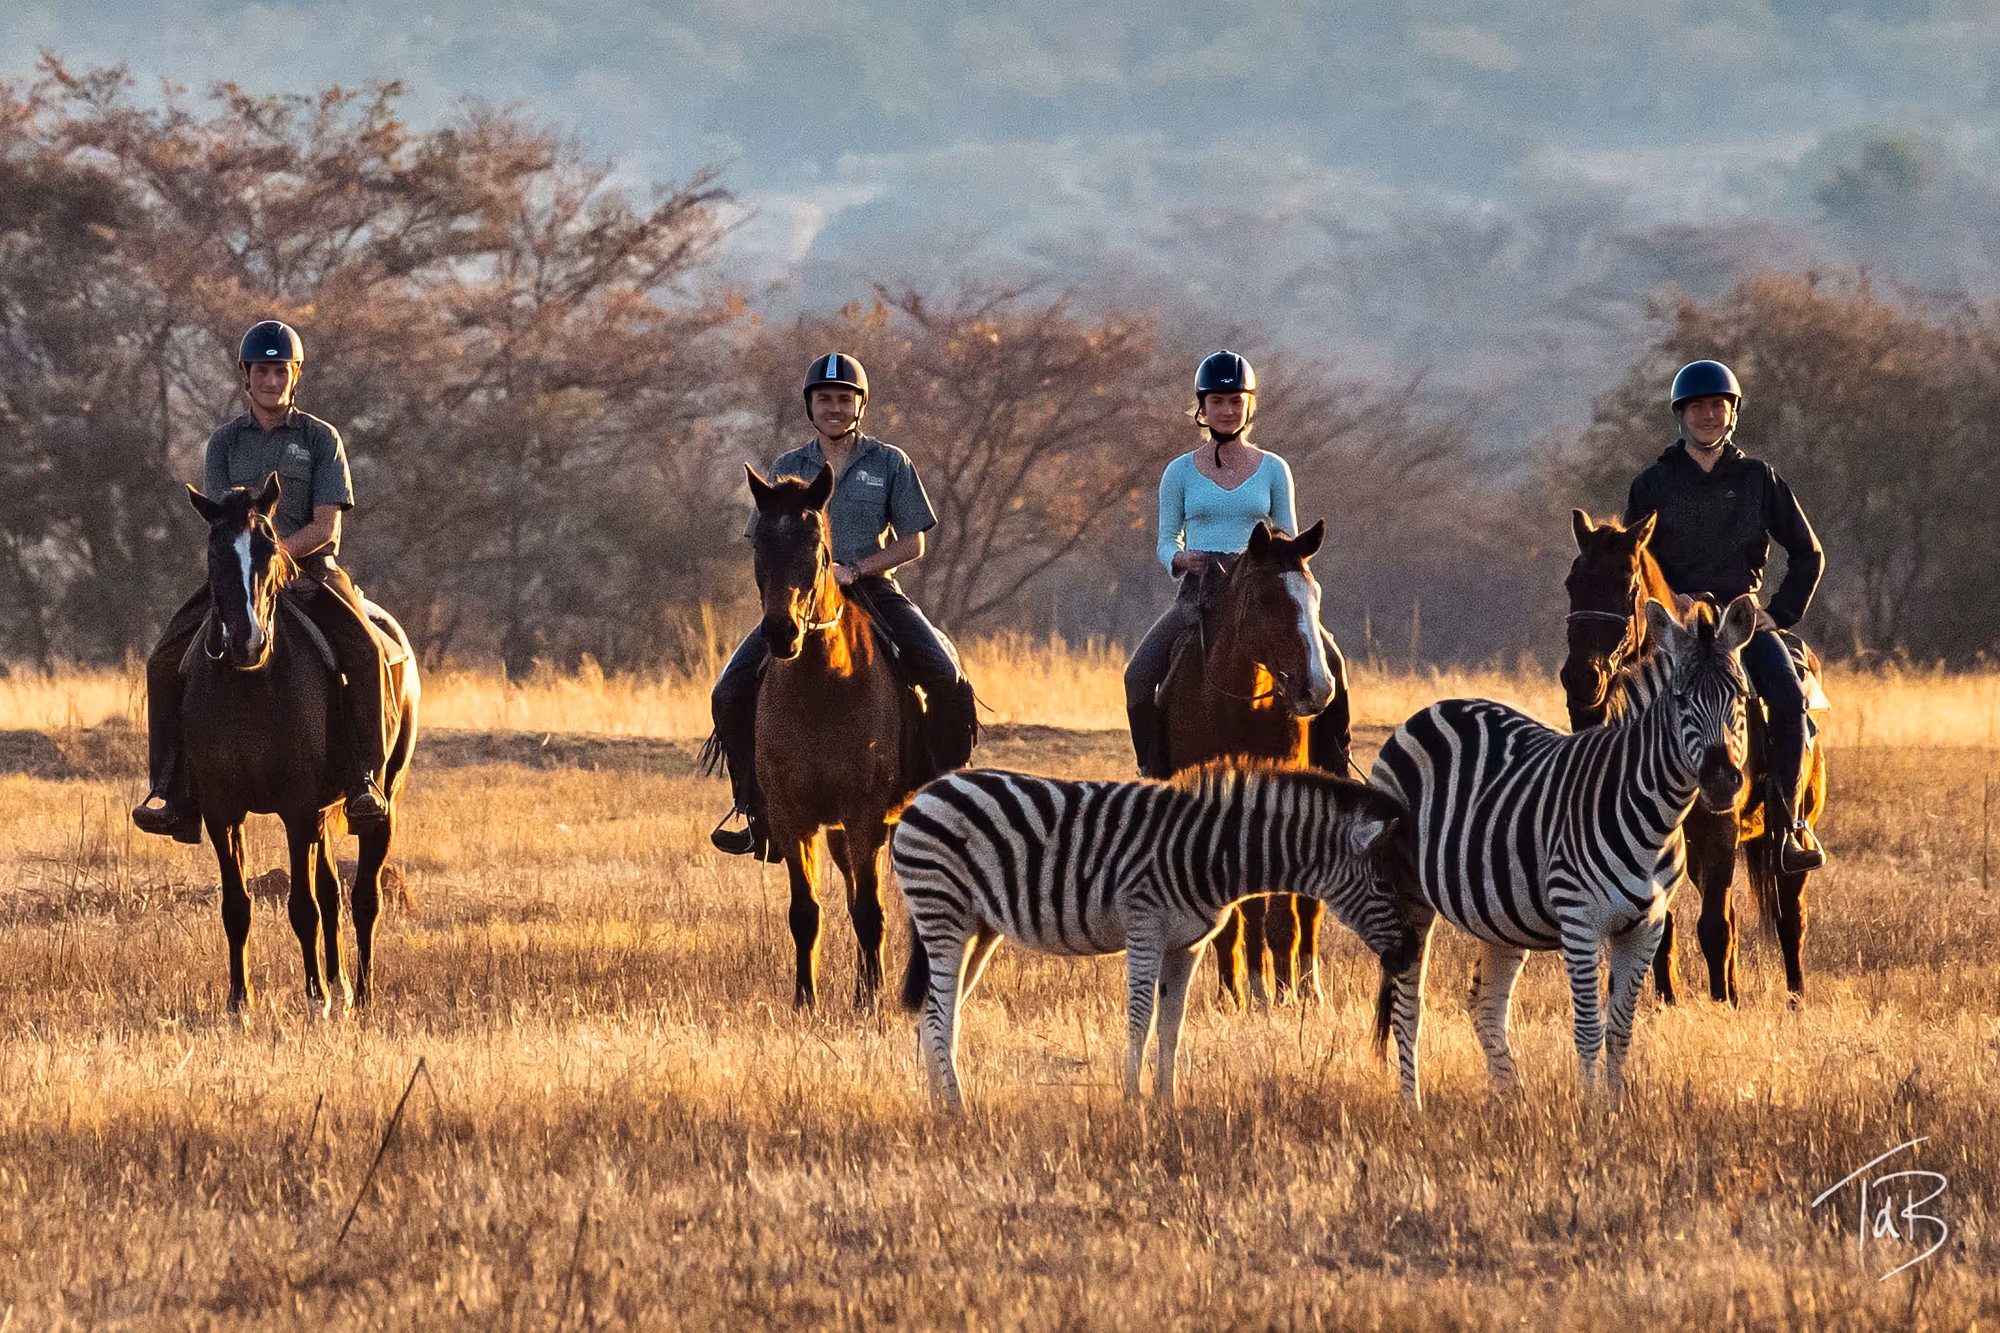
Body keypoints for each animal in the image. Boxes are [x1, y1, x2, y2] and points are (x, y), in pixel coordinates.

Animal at [181, 474, 420, 1014]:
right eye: (213, 552)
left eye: (269, 548)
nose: (247, 640)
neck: (253, 685)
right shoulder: (223, 813)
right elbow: (237, 906)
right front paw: (240, 1001)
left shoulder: (296, 808)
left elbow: (302, 906)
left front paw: (315, 997)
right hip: (325, 810)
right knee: (333, 893)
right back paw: (341, 984)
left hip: (381, 802)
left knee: (364, 897)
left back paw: (361, 992)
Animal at [742, 464, 912, 1009]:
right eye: (759, 544)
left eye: (817, 548)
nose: (782, 633)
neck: (821, 688)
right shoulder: (791, 816)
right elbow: (806, 912)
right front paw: (805, 1000)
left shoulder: (864, 815)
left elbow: (869, 912)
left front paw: (871, 1002)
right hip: (837, 832)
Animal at [1153, 520, 1339, 1007]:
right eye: (1265, 600)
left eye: (1316, 595)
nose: (1317, 689)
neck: (1237, 702)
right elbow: (1235, 912)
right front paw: (1238, 993)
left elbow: (1276, 909)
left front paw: (1271, 992)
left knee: (1305, 905)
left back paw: (1306, 990)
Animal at [1563, 509, 1828, 1004]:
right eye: (1573, 582)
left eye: (1627, 585)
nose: (1581, 680)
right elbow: (1662, 929)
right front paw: (1666, 1002)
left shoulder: (1718, 828)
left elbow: (1713, 928)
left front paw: (1721, 1004)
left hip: (1791, 830)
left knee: (1790, 917)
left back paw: (1794, 999)